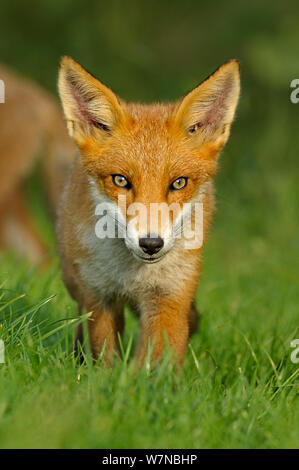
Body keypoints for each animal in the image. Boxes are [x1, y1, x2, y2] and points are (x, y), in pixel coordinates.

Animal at [57, 57, 241, 368]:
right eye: (120, 180)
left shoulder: (169, 297)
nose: (151, 244)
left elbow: (154, 363)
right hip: (75, 280)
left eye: (178, 183)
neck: (133, 276)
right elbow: (105, 356)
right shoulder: (100, 296)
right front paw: (103, 376)